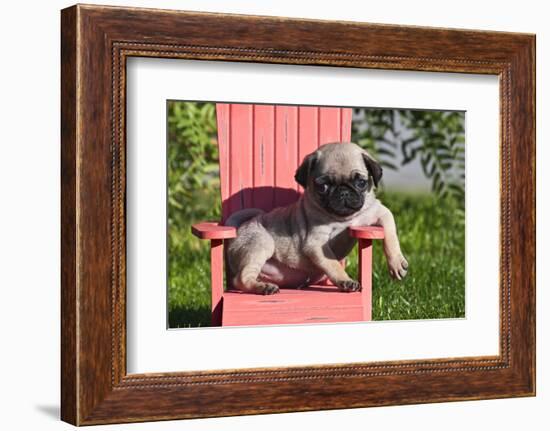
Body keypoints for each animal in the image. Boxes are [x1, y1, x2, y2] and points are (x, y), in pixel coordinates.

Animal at [224, 143, 410, 296]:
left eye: (360, 183)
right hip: (261, 243)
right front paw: (345, 280)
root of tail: (240, 228)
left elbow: (390, 232)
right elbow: (333, 263)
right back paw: (263, 287)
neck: (343, 219)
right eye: (323, 186)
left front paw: (396, 262)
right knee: (241, 279)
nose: (343, 192)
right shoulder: (316, 243)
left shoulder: (379, 212)